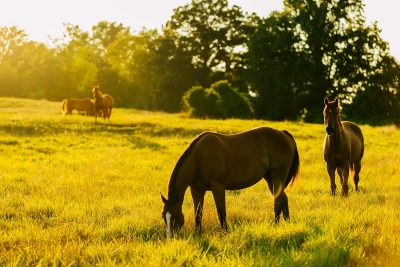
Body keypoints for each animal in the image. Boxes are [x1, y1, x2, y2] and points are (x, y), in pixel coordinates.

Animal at [161, 126, 298, 238]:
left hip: (277, 176)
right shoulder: (196, 189)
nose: (170, 237)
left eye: (176, 216)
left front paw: (224, 233)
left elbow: (221, 212)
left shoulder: (218, 187)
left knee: (278, 201)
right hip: (270, 178)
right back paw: (287, 224)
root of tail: (284, 134)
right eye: (163, 215)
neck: (199, 158)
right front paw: (198, 234)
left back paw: (275, 225)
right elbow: (198, 213)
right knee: (283, 199)